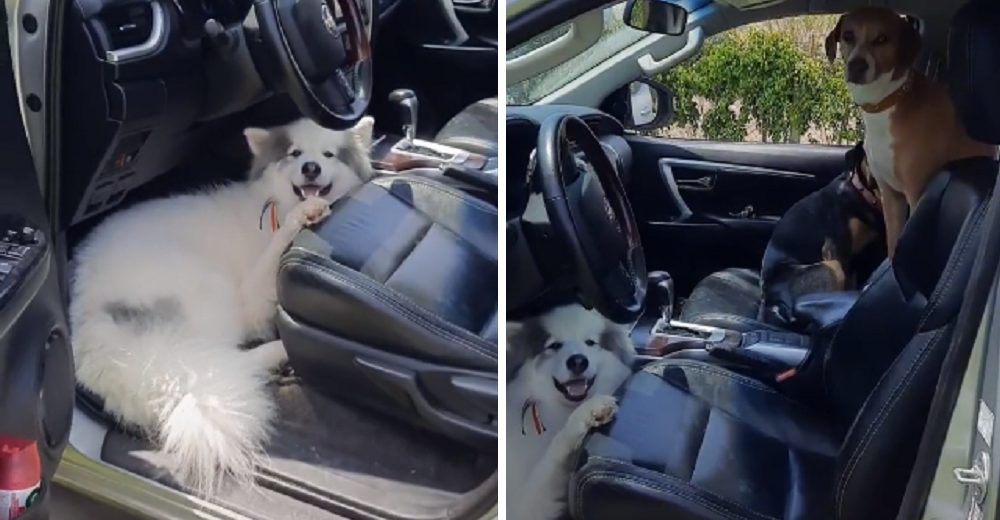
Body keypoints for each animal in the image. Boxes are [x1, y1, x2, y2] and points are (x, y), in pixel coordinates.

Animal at [69, 116, 376, 494]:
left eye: (329, 154)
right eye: (295, 153)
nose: (311, 167)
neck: (277, 206)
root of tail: (94, 328)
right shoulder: (253, 291)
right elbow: (277, 247)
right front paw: (304, 216)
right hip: (211, 287)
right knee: (226, 360)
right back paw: (278, 352)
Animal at [508, 304, 632, 520]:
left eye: (590, 342)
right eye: (555, 345)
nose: (578, 361)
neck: (560, 412)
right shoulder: (523, 505)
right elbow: (555, 449)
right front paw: (590, 411)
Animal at [824, 9, 996, 256]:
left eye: (882, 39)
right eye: (848, 35)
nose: (857, 65)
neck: (888, 102)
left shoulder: (916, 194)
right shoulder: (890, 196)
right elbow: (893, 243)